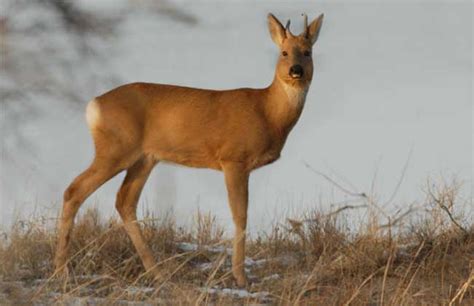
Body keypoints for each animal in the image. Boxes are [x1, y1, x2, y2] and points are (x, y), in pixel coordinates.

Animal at [54, 12, 322, 286]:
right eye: (284, 52)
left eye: (307, 52)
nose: (296, 70)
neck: (267, 112)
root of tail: (93, 105)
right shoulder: (233, 158)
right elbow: (240, 215)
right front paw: (240, 277)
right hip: (116, 148)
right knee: (74, 190)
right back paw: (62, 270)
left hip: (145, 158)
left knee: (125, 201)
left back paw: (157, 272)